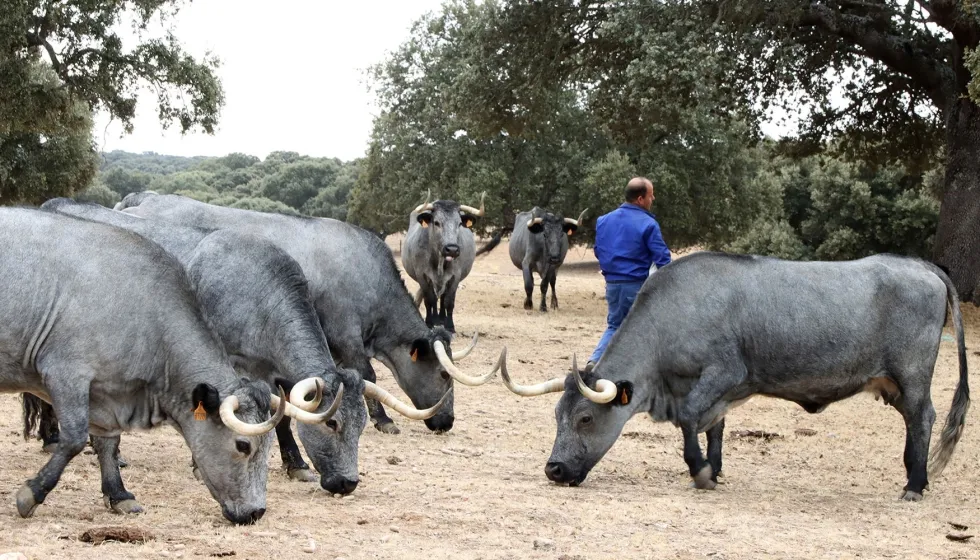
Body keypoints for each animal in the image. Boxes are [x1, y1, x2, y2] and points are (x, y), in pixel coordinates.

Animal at [0, 207, 322, 523]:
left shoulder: (105, 393)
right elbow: (75, 439)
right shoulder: (66, 374)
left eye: (268, 448)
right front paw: (32, 493)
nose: (256, 512)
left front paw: (118, 494)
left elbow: (107, 443)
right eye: (243, 445)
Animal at [33, 200, 449, 495]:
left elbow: (281, 415)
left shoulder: (271, 370)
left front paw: (295, 464)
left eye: (360, 426)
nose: (347, 483)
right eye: (333, 423)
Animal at [402, 191, 485, 333]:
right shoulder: (422, 276)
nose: (452, 249)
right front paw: (430, 322)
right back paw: (436, 319)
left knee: (442, 298)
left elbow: (449, 301)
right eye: (436, 222)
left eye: (459, 223)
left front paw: (450, 325)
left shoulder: (455, 276)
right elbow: (429, 300)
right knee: (435, 298)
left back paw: (441, 319)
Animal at [498, 252, 969, 501]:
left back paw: (915, 483)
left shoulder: (724, 372)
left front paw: (701, 470)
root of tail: (919, 265)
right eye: (556, 417)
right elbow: (714, 426)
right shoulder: (717, 392)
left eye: (585, 419)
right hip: (895, 383)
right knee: (914, 421)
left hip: (913, 376)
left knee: (923, 418)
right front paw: (715, 466)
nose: (554, 469)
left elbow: (691, 418)